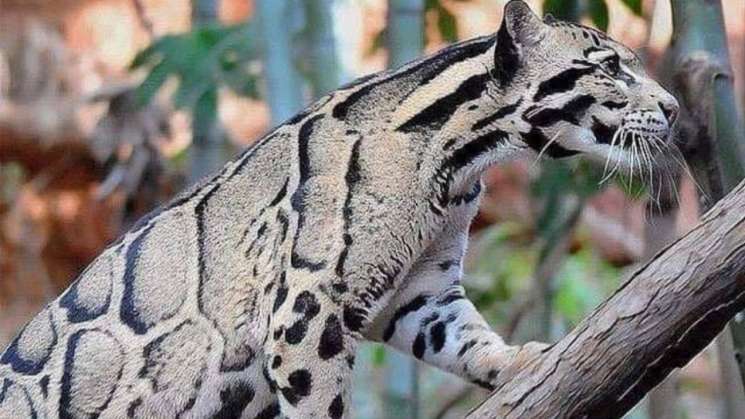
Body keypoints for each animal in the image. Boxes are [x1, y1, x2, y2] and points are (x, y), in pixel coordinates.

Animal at [0, 1, 678, 418]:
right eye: (612, 68)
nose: (673, 107)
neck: (457, 162)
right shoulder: (307, 306)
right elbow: (319, 399)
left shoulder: (422, 291)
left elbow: (463, 336)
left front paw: (519, 362)